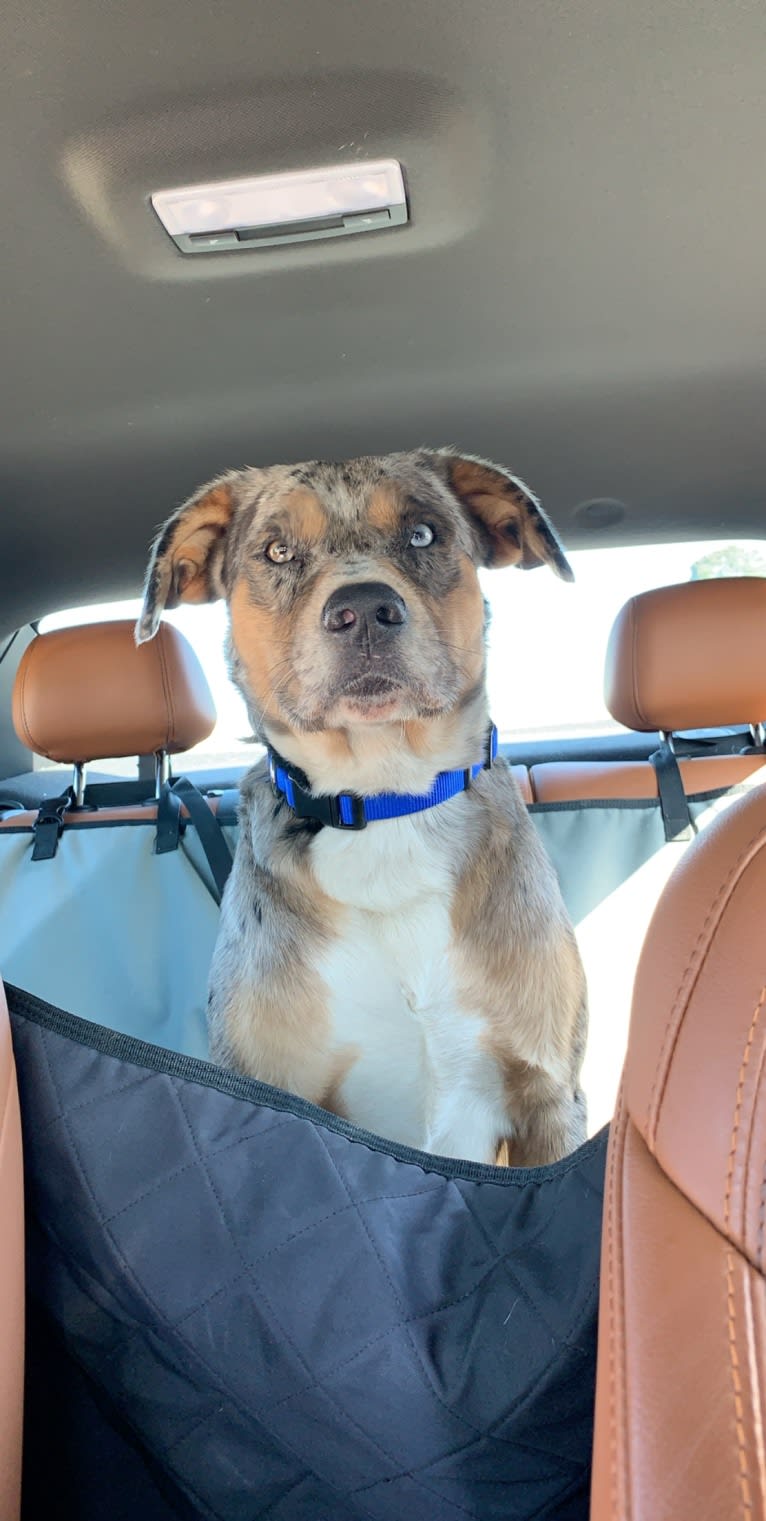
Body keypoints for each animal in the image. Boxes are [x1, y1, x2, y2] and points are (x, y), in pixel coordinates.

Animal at [137, 450, 589, 1162]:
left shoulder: (549, 1096)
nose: (364, 610)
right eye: (277, 550)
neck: (384, 801)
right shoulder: (273, 1099)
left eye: (424, 534)